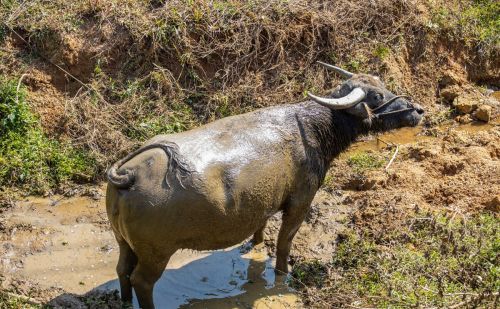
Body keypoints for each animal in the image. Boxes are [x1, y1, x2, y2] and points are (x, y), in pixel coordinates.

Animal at [105, 61, 422, 306]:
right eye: (377, 96)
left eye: (382, 85)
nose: (417, 110)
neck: (312, 127)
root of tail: (129, 173)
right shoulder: (300, 202)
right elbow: (284, 243)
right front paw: (283, 273)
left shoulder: (262, 204)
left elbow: (260, 227)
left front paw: (255, 245)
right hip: (155, 253)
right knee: (142, 281)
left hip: (122, 241)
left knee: (122, 270)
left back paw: (125, 301)